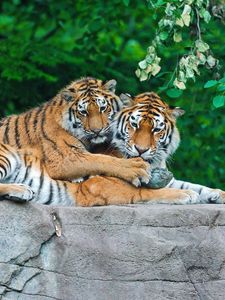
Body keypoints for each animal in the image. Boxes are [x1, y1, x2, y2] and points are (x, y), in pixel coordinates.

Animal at [0, 77, 152, 204]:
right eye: (83, 112)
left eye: (103, 108)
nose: (97, 130)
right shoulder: (65, 158)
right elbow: (101, 160)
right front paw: (137, 168)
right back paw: (21, 190)